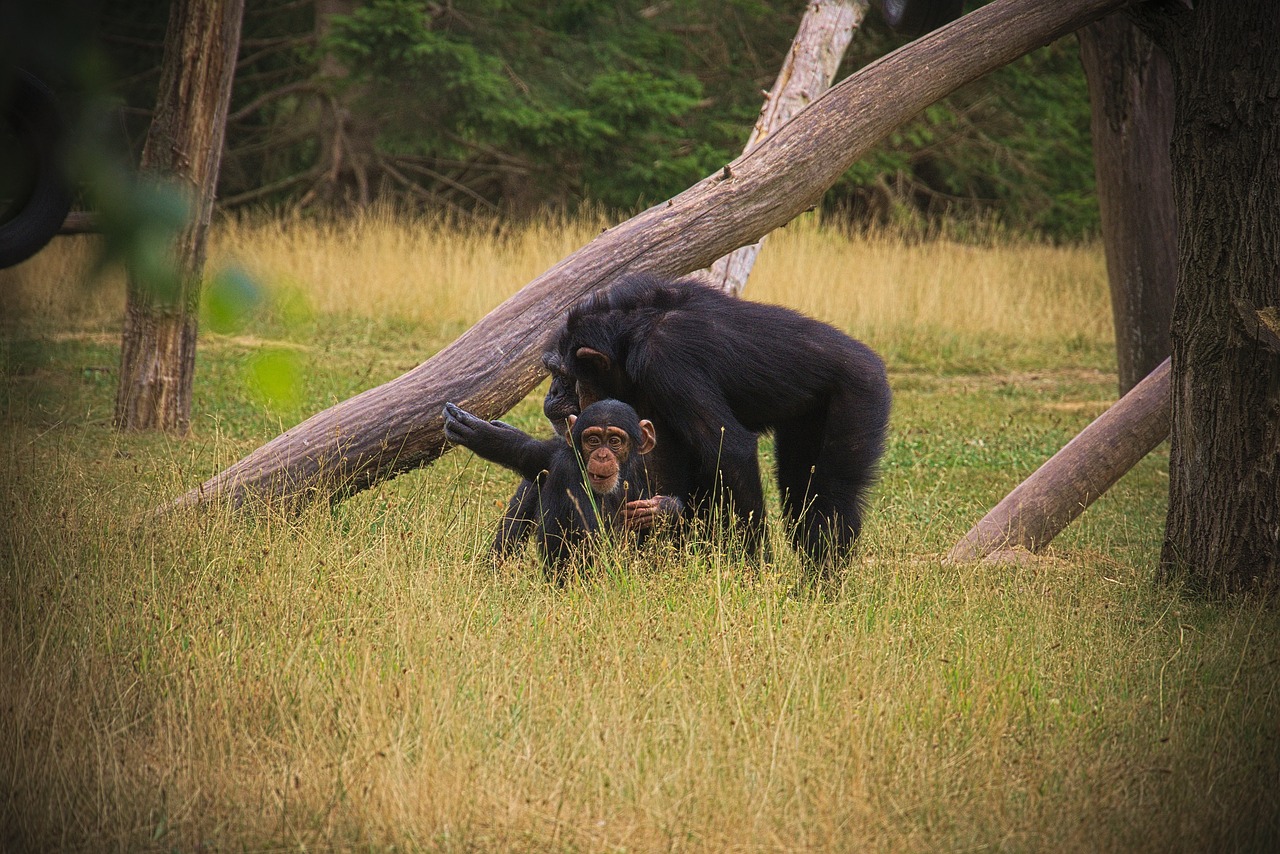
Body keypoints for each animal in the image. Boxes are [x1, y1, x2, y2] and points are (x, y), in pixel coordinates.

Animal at [442, 396, 680, 571]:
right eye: (593, 440)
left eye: (614, 441)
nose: (602, 455)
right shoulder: (568, 468)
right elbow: (594, 550)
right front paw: (494, 438)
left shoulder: (645, 464)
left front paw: (663, 508)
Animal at [547, 270, 890, 571]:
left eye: (563, 376)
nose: (552, 393)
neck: (630, 337)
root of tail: (870, 358)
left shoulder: (667, 362)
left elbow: (730, 452)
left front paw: (754, 568)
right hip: (806, 418)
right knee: (799, 488)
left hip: (861, 394)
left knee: (833, 494)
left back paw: (822, 581)